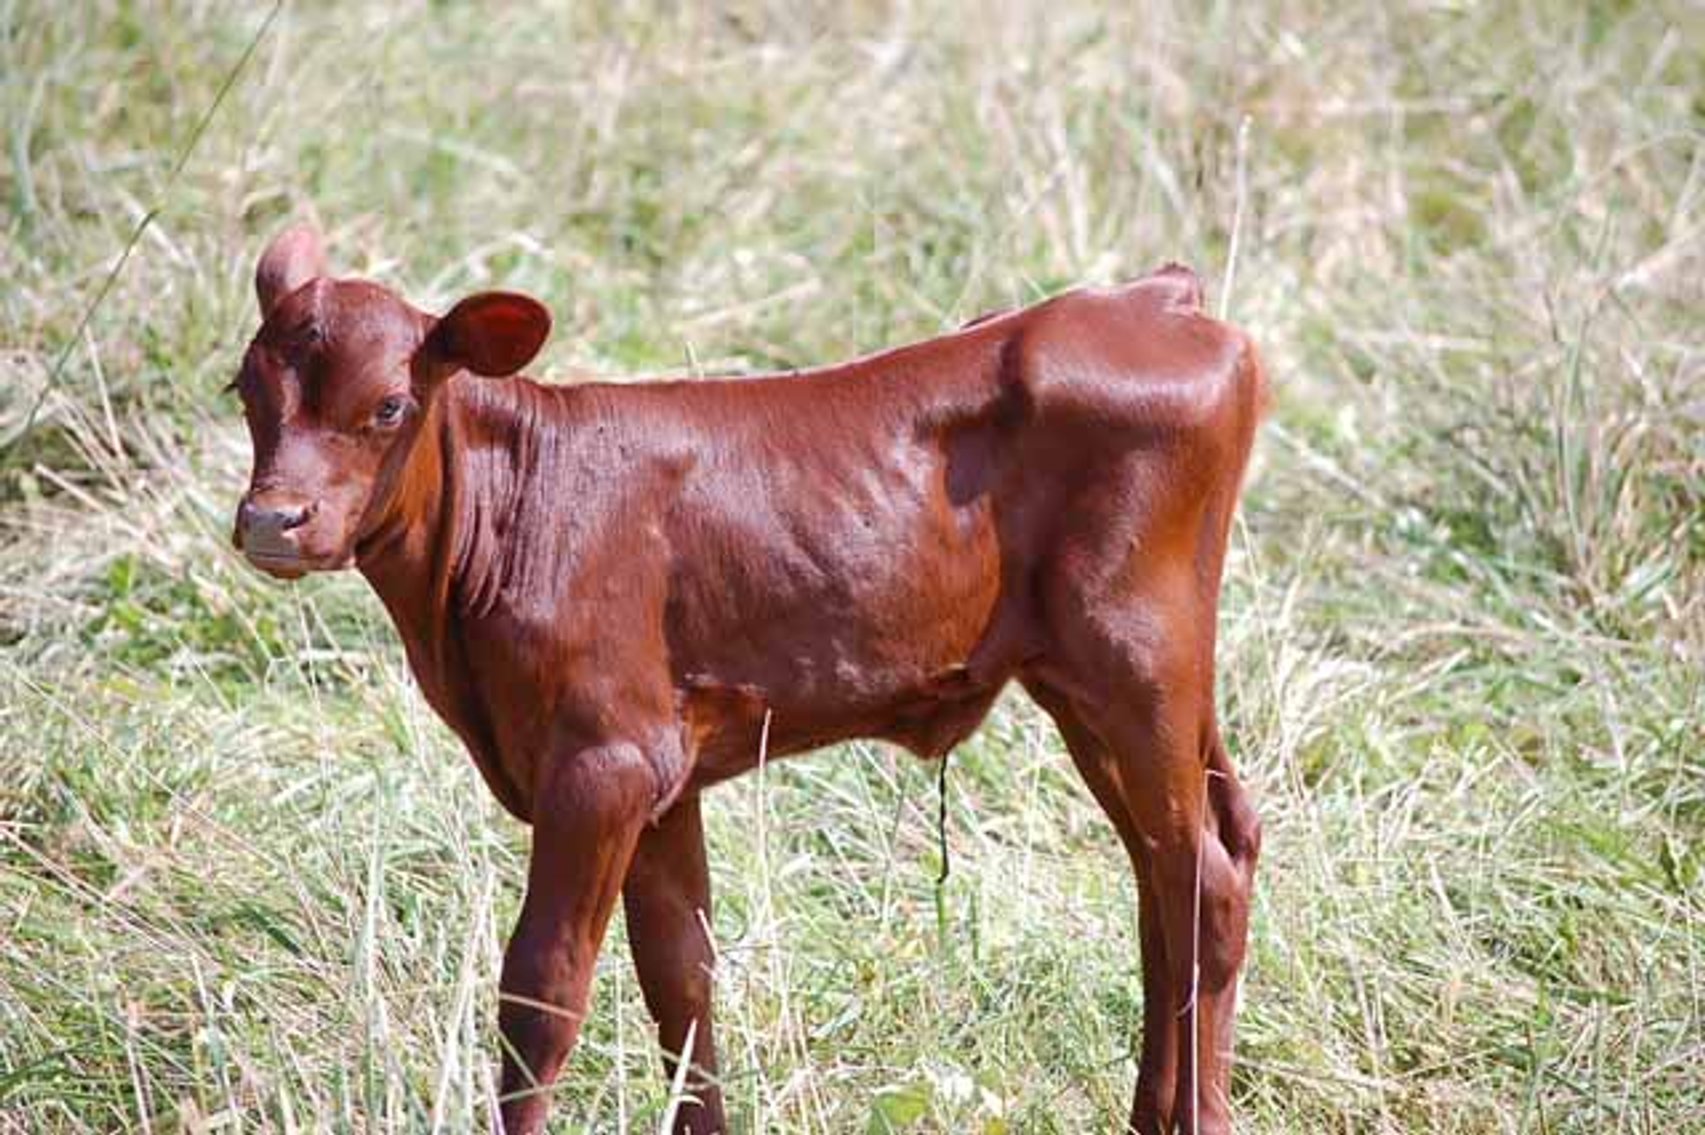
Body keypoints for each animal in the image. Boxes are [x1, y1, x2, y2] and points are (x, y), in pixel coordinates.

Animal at [230, 223, 1265, 1134]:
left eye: (387, 406)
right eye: (244, 390)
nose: (271, 520)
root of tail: (1148, 298)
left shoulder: (601, 763)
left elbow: (541, 992)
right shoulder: (661, 779)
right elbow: (680, 980)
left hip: (1138, 657)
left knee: (1202, 877)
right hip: (1092, 683)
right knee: (1173, 862)